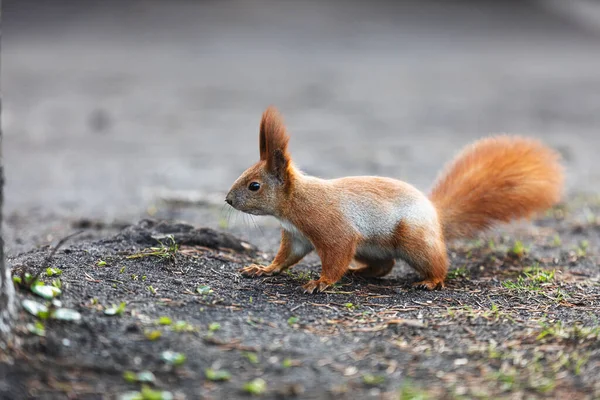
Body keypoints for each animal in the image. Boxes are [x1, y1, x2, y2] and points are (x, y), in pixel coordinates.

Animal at [224, 106, 564, 294]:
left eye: (254, 185)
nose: (227, 199)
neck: (296, 202)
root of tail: (435, 217)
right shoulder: (296, 236)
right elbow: (286, 257)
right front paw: (264, 269)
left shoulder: (332, 228)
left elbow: (336, 253)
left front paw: (321, 282)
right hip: (370, 247)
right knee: (384, 265)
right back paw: (359, 272)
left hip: (413, 240)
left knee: (436, 262)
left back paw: (431, 281)